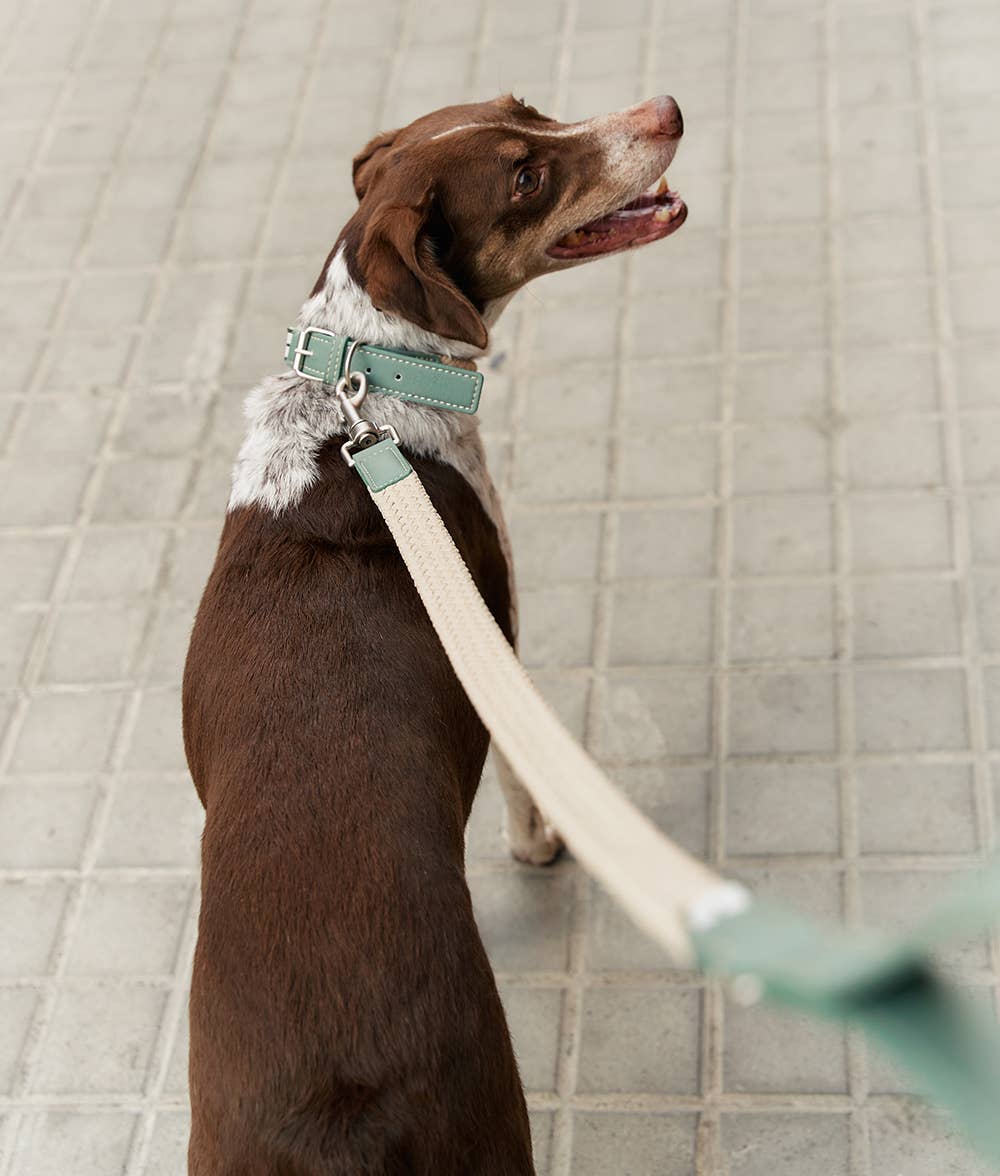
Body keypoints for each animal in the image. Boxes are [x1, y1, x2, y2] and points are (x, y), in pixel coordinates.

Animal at [183, 91, 682, 1176]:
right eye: (525, 178)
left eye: (523, 106)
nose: (664, 110)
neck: (360, 387)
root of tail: (339, 1124)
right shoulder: (493, 645)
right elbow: (528, 787)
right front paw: (541, 849)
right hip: (490, 1121)